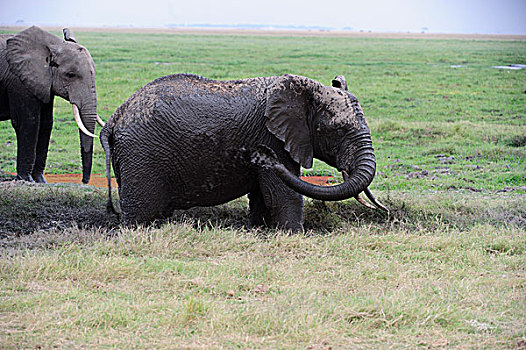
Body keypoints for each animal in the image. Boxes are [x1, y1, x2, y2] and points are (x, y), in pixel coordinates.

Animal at [0, 26, 104, 185]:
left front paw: (40, 181)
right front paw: (26, 180)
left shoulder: (43, 82)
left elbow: (46, 124)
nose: (84, 181)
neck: (54, 44)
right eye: (70, 75)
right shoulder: (18, 81)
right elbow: (29, 123)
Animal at [100, 73, 388, 231]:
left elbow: (264, 195)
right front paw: (295, 234)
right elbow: (282, 194)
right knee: (140, 213)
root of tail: (116, 116)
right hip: (141, 155)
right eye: (338, 130)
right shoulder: (273, 137)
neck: (306, 89)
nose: (260, 155)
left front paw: (260, 230)